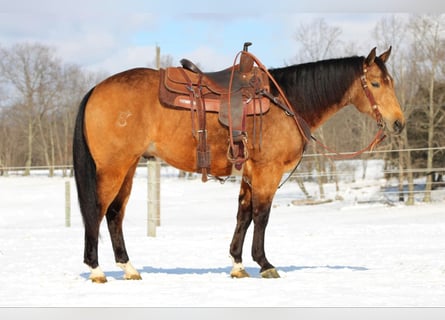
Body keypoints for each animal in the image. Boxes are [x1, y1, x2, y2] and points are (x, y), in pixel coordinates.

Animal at [73, 45, 406, 282]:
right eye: (375, 83)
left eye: (390, 82)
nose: (398, 123)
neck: (286, 102)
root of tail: (96, 89)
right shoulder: (267, 172)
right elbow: (261, 216)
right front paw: (265, 263)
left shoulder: (249, 172)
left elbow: (243, 215)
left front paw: (237, 264)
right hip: (113, 168)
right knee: (96, 212)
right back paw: (96, 270)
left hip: (128, 167)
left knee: (114, 215)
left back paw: (129, 268)